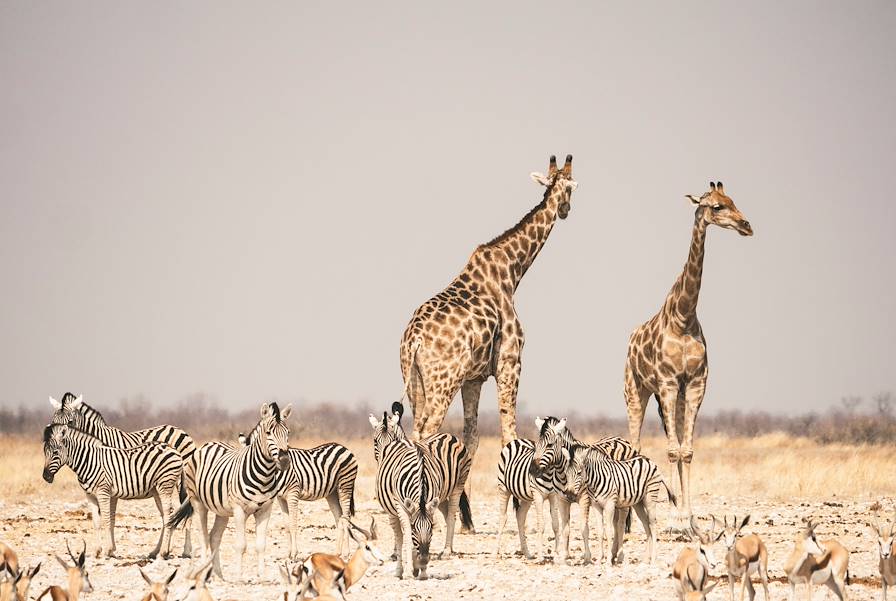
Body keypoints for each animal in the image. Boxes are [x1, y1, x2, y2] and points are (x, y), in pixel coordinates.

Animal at [49, 392, 196, 556]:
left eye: (70, 421)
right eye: (53, 421)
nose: (57, 437)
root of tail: (179, 429)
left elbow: (109, 517)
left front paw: (110, 548)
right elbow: (108, 517)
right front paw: (110, 548)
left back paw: (185, 551)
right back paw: (159, 550)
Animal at [166, 400, 292, 580]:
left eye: (288, 433)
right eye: (268, 433)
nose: (284, 461)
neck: (264, 475)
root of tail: (209, 444)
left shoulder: (265, 510)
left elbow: (261, 545)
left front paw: (262, 575)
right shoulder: (239, 510)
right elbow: (241, 545)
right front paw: (238, 577)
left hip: (222, 511)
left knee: (214, 537)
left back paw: (218, 574)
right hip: (198, 503)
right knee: (204, 537)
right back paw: (204, 572)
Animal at [368, 400, 472, 560]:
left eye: (394, 440)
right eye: (375, 441)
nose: (383, 462)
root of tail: (449, 435)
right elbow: (399, 527)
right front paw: (398, 552)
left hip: (459, 484)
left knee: (451, 514)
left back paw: (447, 550)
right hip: (441, 495)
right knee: (447, 513)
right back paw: (448, 548)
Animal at [400, 156, 580, 474]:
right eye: (570, 187)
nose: (565, 210)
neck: (512, 270)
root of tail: (414, 340)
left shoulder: (473, 378)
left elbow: (471, 438)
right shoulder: (510, 361)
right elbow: (509, 434)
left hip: (414, 382)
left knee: (415, 433)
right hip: (443, 381)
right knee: (427, 431)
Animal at [624, 182, 756, 520]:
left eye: (733, 200)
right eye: (717, 206)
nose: (746, 225)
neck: (683, 317)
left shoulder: (695, 384)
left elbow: (687, 451)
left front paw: (686, 510)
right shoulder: (668, 382)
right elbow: (672, 450)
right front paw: (673, 512)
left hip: (676, 396)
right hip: (636, 390)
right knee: (635, 444)